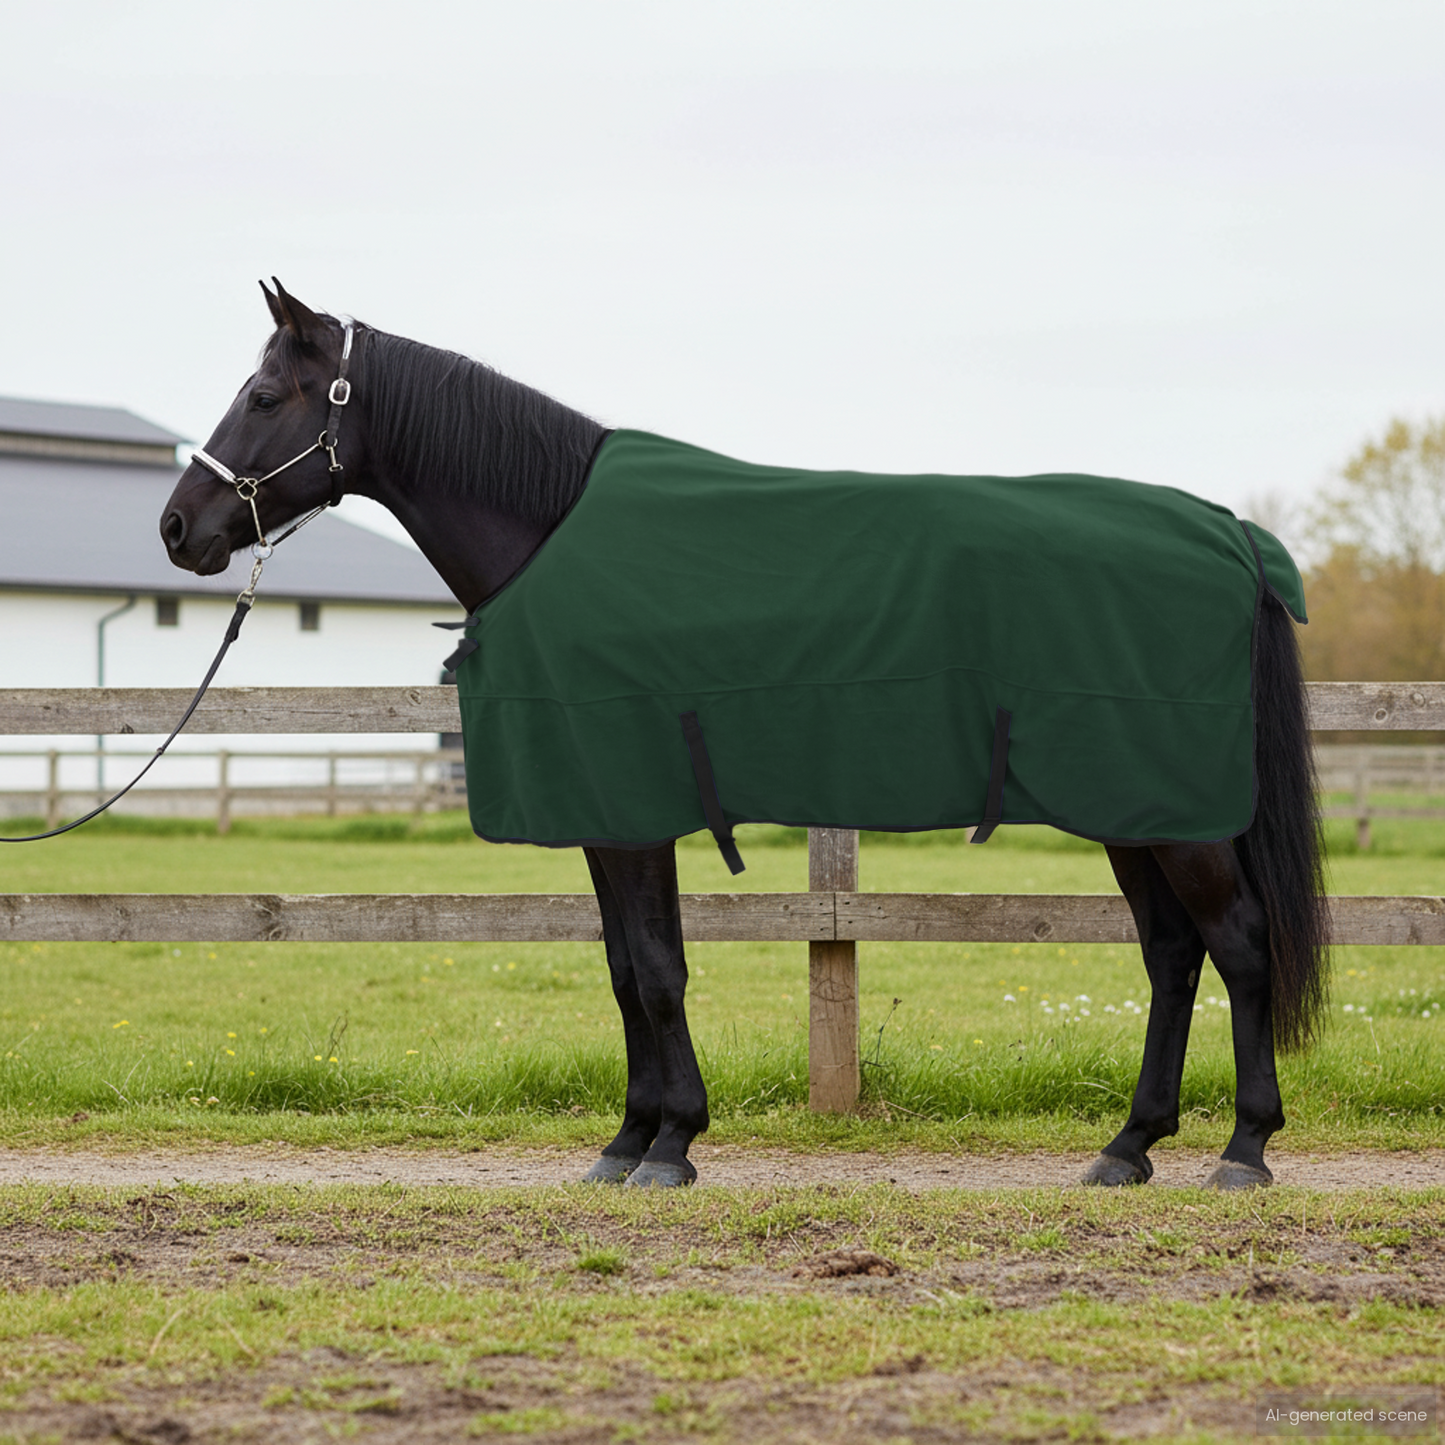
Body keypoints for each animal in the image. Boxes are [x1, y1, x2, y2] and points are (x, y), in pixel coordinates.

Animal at [159, 280, 1329, 1190]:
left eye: (263, 396)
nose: (178, 528)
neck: (552, 532)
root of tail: (1225, 532)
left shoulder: (631, 813)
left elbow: (657, 969)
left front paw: (670, 1143)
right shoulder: (605, 815)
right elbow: (625, 968)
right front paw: (629, 1138)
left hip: (1176, 816)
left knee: (1238, 944)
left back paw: (1243, 1149)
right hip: (1132, 809)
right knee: (1172, 954)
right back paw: (1128, 1146)